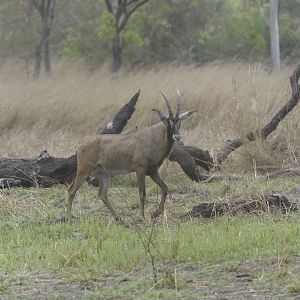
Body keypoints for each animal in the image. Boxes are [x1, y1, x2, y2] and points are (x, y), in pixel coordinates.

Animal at [67, 90, 196, 219]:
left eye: (179, 123)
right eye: (168, 122)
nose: (178, 137)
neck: (153, 136)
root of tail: (80, 146)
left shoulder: (153, 171)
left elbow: (165, 188)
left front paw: (156, 213)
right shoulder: (140, 169)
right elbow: (142, 193)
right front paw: (142, 217)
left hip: (103, 174)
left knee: (102, 194)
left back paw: (118, 218)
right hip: (84, 171)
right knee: (71, 190)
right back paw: (68, 217)